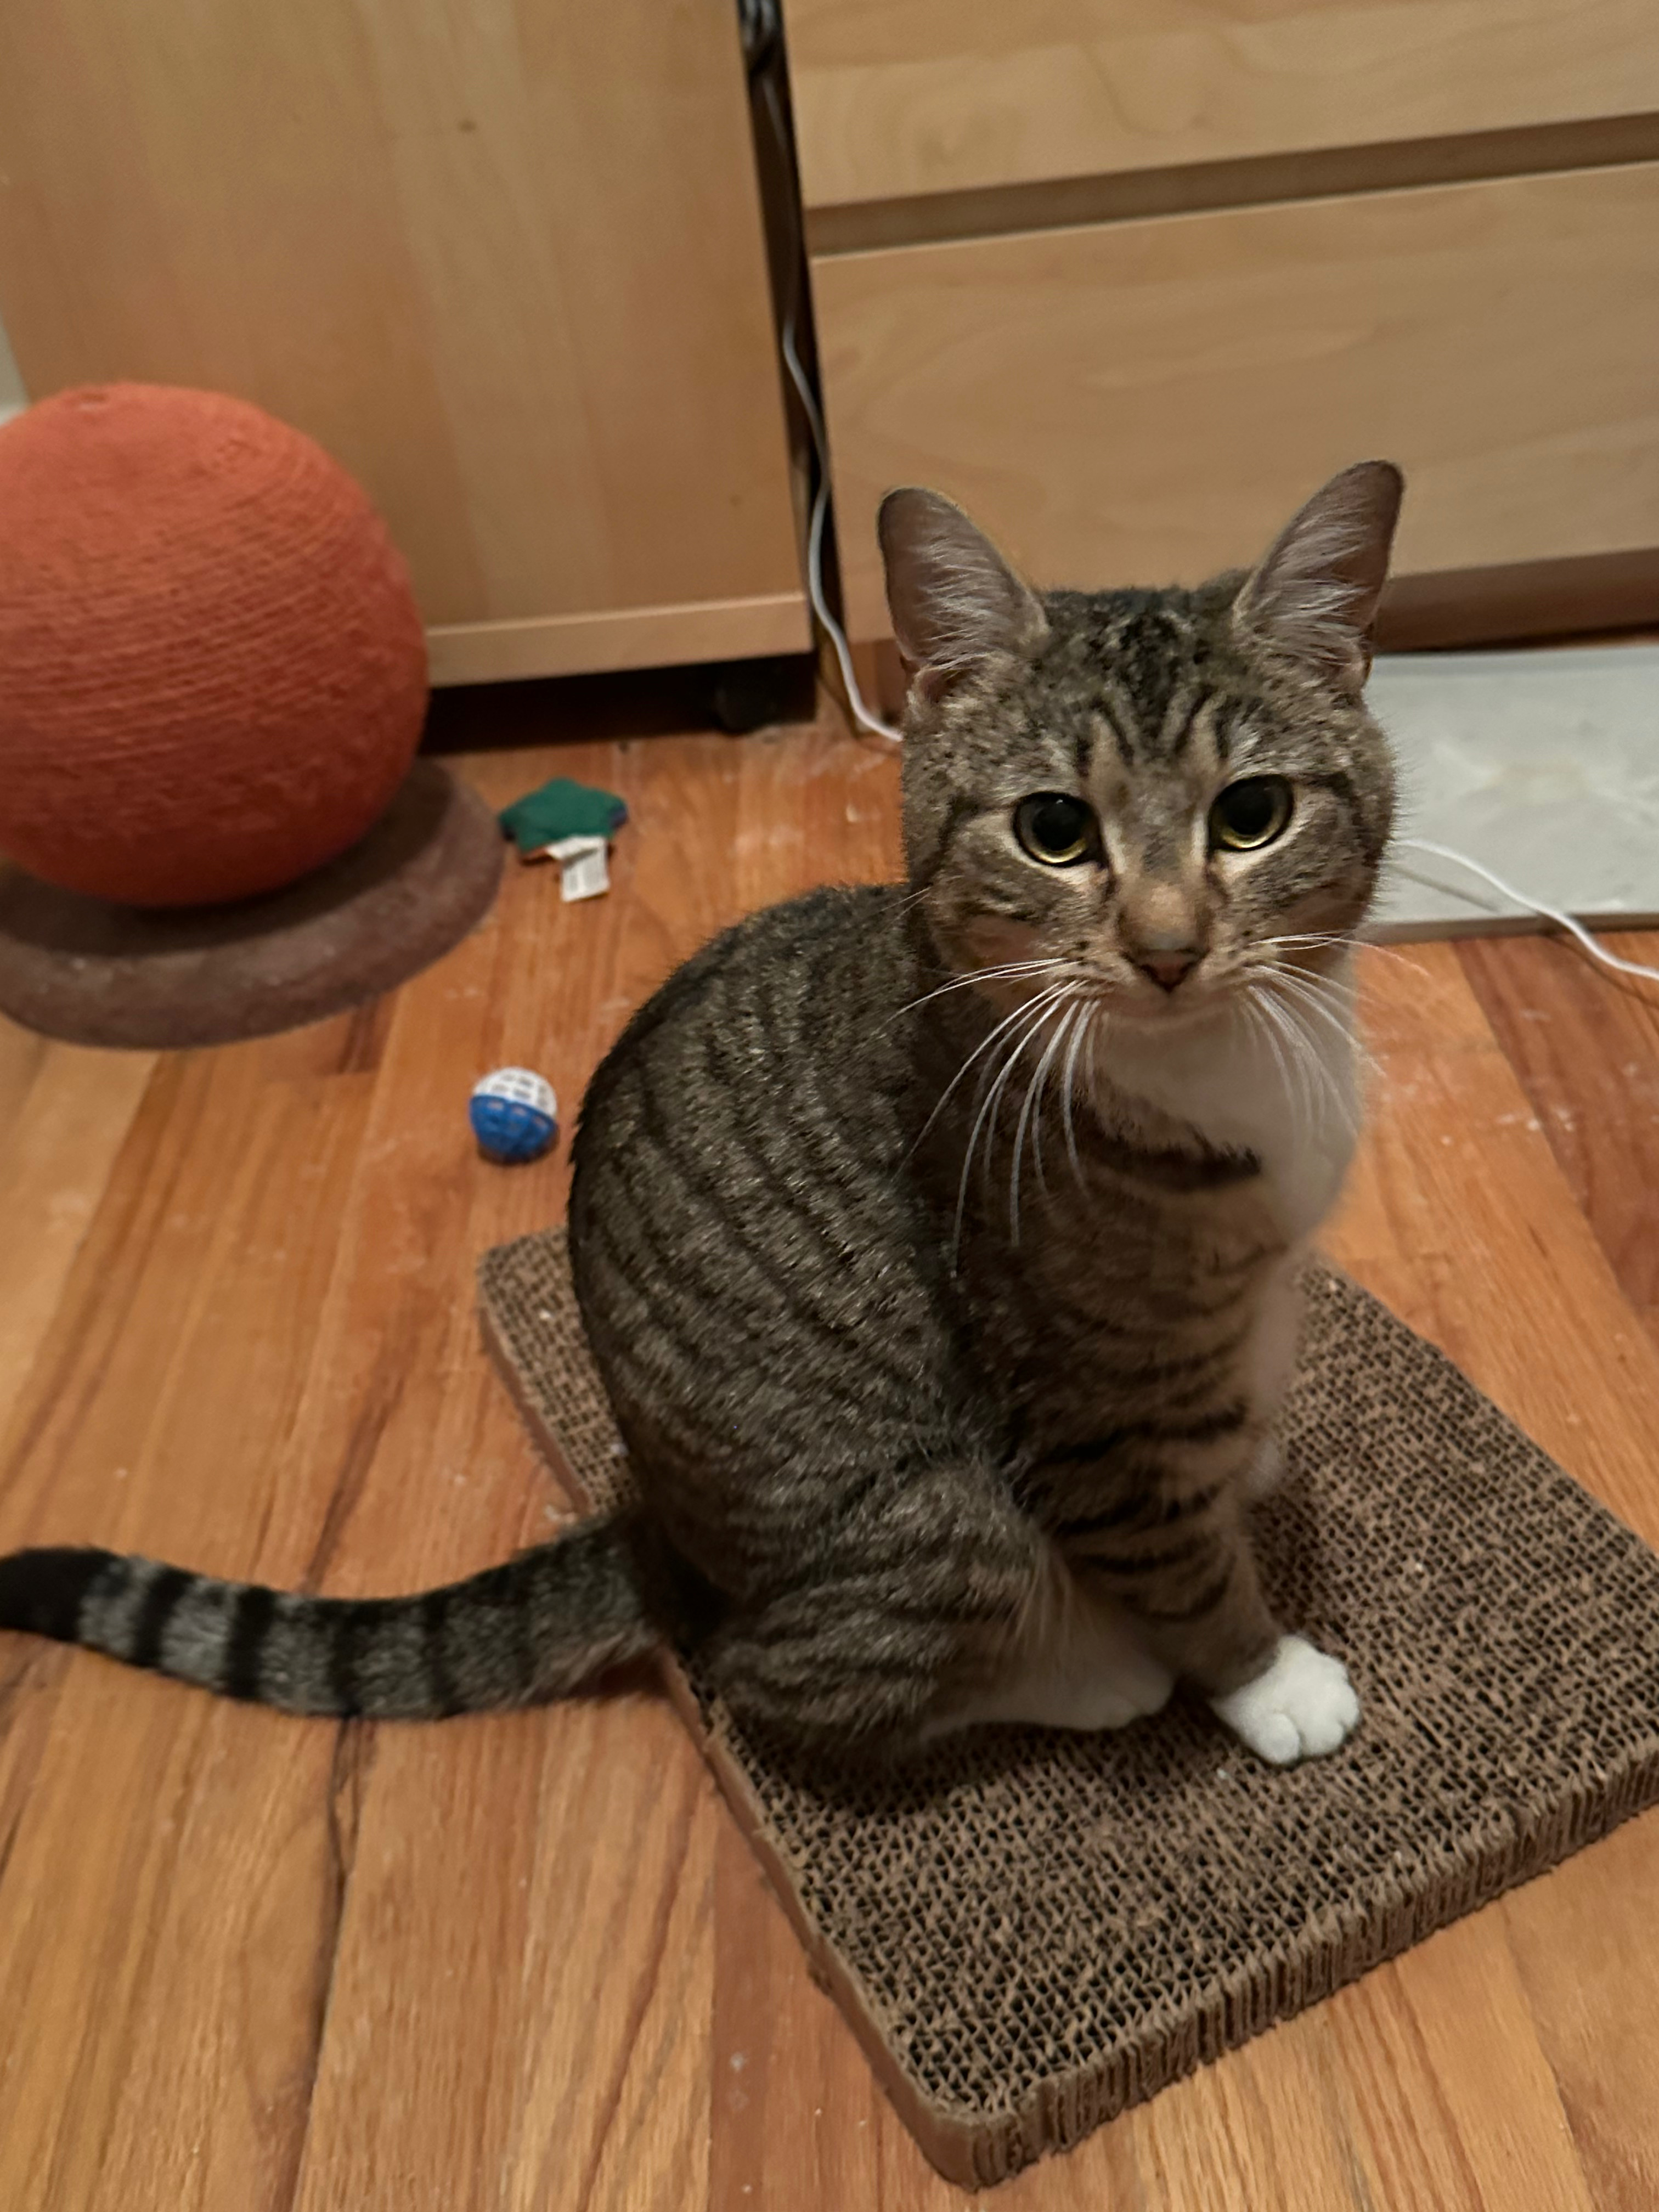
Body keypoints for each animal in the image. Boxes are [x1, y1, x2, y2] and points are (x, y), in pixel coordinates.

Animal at [0, 458, 1407, 1769]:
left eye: (1252, 815)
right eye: (1054, 829)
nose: (1168, 950)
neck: (1214, 1057)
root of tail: (664, 1543)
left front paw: (1252, 1464)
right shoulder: (1088, 1405)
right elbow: (1178, 1557)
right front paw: (1263, 1674)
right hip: (939, 1518)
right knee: (783, 1680)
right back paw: (1088, 1676)